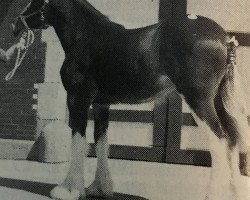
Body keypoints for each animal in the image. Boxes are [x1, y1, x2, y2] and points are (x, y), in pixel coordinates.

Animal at [11, 0, 250, 200]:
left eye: (34, 0)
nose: (15, 25)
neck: (86, 37)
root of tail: (224, 38)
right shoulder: (101, 105)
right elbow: (101, 143)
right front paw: (99, 188)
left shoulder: (78, 100)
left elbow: (78, 141)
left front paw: (69, 190)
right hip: (217, 101)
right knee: (231, 140)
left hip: (198, 101)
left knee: (219, 141)